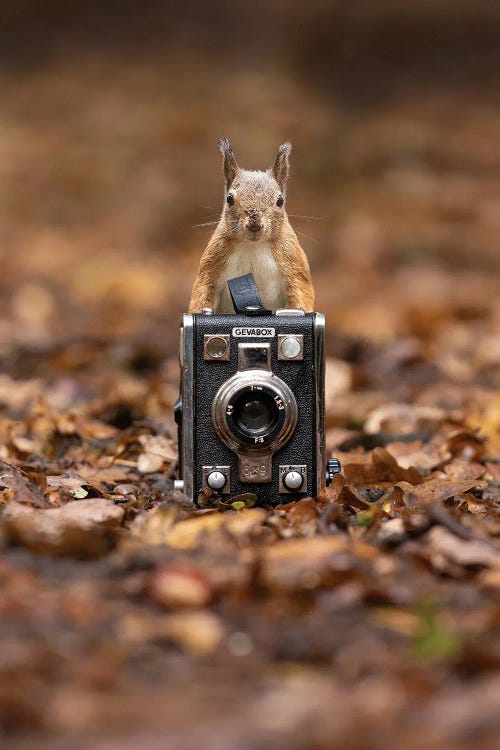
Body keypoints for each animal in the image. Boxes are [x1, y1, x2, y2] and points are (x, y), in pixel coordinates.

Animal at [189, 141, 314, 314]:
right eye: (229, 198)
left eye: (280, 200)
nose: (254, 224)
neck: (253, 246)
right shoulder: (212, 261)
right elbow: (202, 292)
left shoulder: (293, 262)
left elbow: (302, 293)